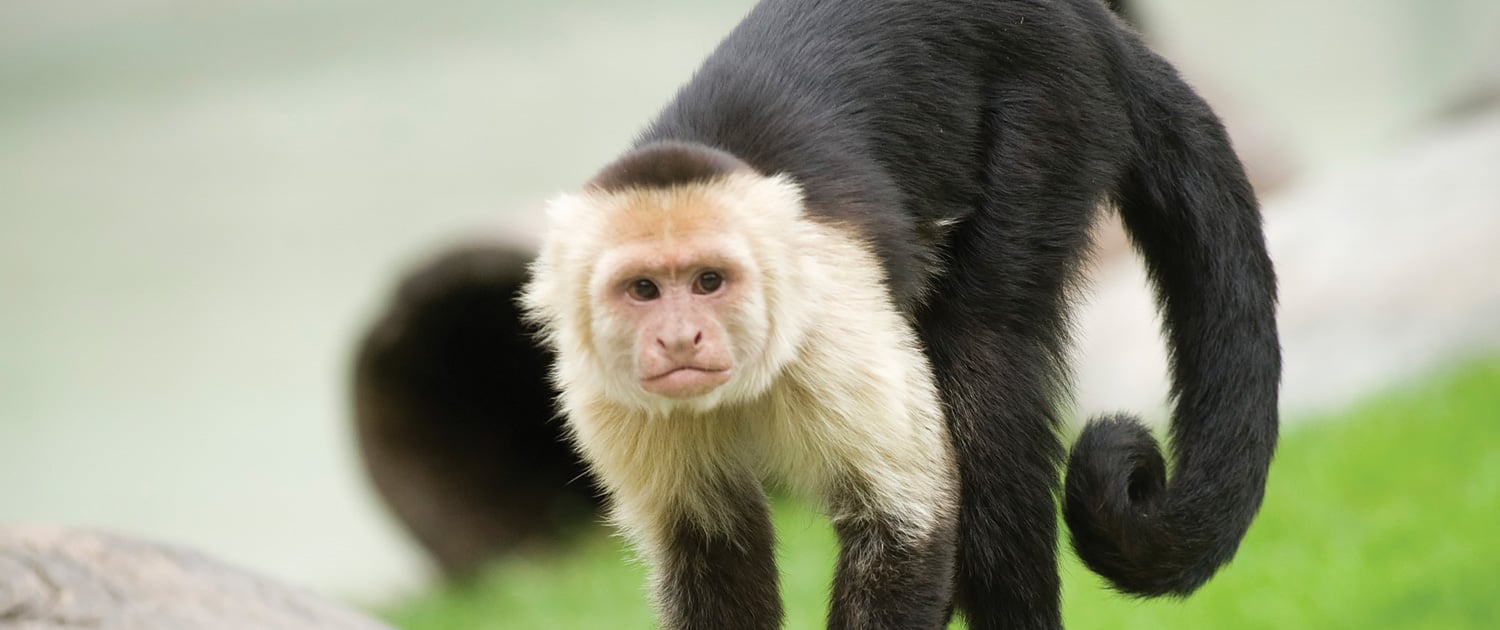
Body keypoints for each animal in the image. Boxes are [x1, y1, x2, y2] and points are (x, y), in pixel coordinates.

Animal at [520, 0, 1282, 628]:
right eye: (643, 290)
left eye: (710, 281)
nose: (681, 337)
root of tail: (1086, 16)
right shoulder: (601, 389)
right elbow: (711, 556)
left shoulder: (831, 323)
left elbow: (908, 526)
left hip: (1055, 105)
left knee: (983, 362)